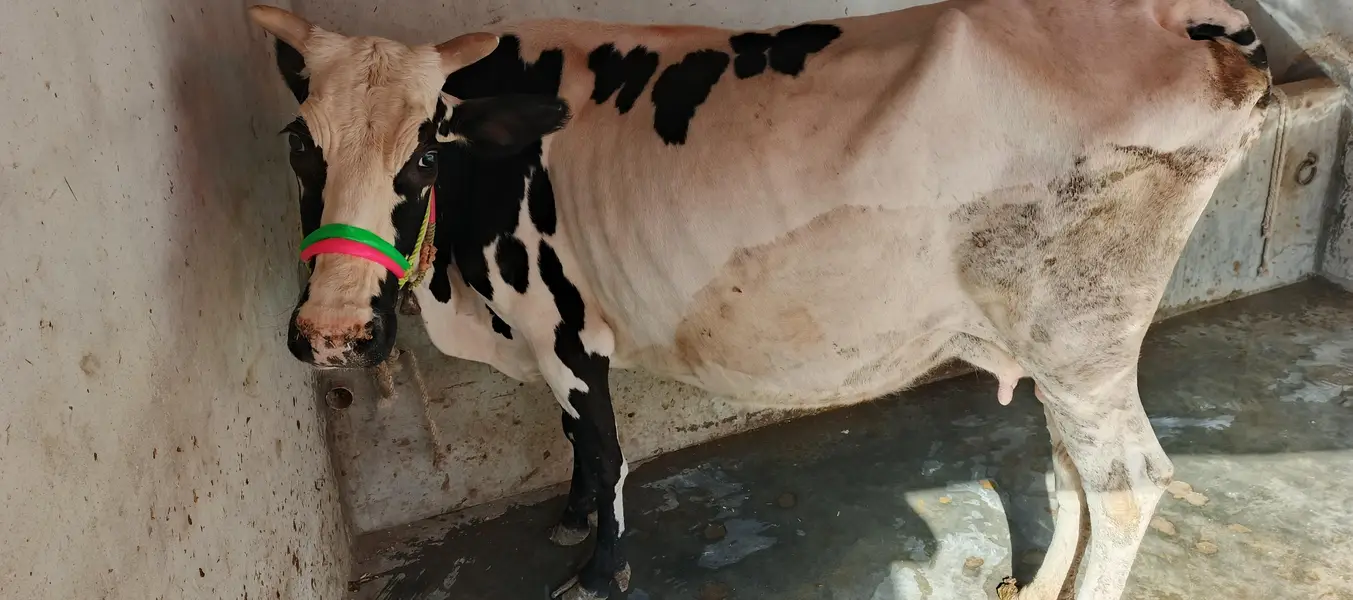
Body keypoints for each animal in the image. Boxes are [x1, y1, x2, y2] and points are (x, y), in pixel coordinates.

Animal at [245, 0, 1270, 597]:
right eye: (299, 143)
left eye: (424, 151)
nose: (333, 335)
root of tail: (1187, 17)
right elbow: (574, 441)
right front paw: (571, 514)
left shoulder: (561, 325)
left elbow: (603, 446)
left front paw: (600, 569)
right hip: (1059, 344)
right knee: (1071, 474)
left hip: (1082, 332)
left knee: (1126, 484)